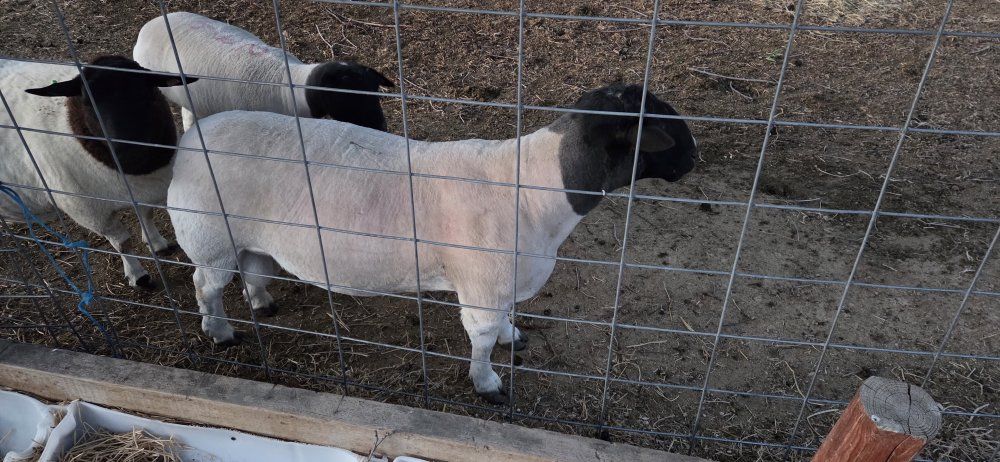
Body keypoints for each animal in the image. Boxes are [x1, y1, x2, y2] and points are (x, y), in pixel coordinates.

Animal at [0, 56, 195, 288]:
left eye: (147, 90)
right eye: (86, 101)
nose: (127, 151)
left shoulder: (146, 192)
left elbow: (147, 214)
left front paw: (155, 243)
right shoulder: (91, 213)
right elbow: (122, 243)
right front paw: (138, 275)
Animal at [166, 83, 698, 404]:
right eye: (659, 124)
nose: (693, 158)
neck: (536, 189)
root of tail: (191, 138)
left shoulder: (499, 281)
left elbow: (504, 320)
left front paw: (512, 337)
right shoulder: (483, 285)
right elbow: (481, 337)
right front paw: (487, 383)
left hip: (249, 237)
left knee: (253, 269)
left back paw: (261, 303)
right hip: (208, 234)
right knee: (204, 284)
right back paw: (219, 331)